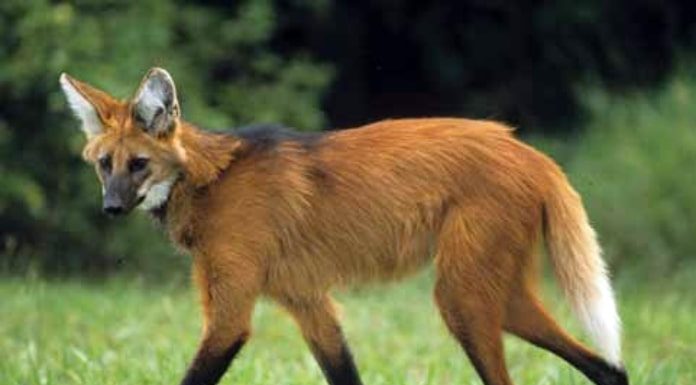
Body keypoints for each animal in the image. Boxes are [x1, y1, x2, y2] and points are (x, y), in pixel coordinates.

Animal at [58, 67, 624, 382]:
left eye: (138, 165)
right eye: (105, 165)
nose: (110, 208)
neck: (208, 181)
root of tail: (528, 151)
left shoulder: (233, 312)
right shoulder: (307, 301)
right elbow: (343, 370)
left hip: (462, 297)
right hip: (494, 292)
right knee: (610, 369)